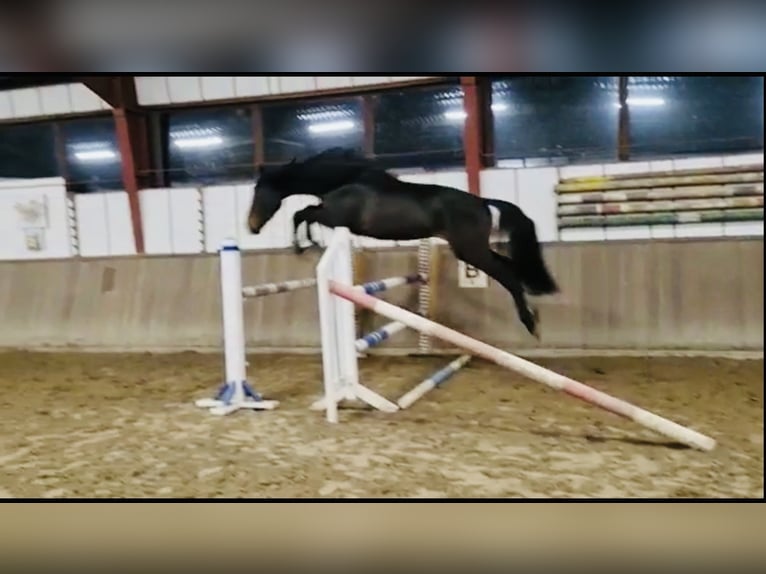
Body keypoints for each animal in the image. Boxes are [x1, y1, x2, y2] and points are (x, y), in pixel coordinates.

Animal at [247, 149, 559, 338]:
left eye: (259, 191)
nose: (251, 226)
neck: (346, 180)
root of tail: (483, 202)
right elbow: (305, 213)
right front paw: (309, 242)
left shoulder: (334, 216)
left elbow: (302, 214)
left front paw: (302, 245)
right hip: (475, 250)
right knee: (512, 267)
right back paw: (534, 315)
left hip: (470, 251)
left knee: (507, 274)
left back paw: (530, 323)